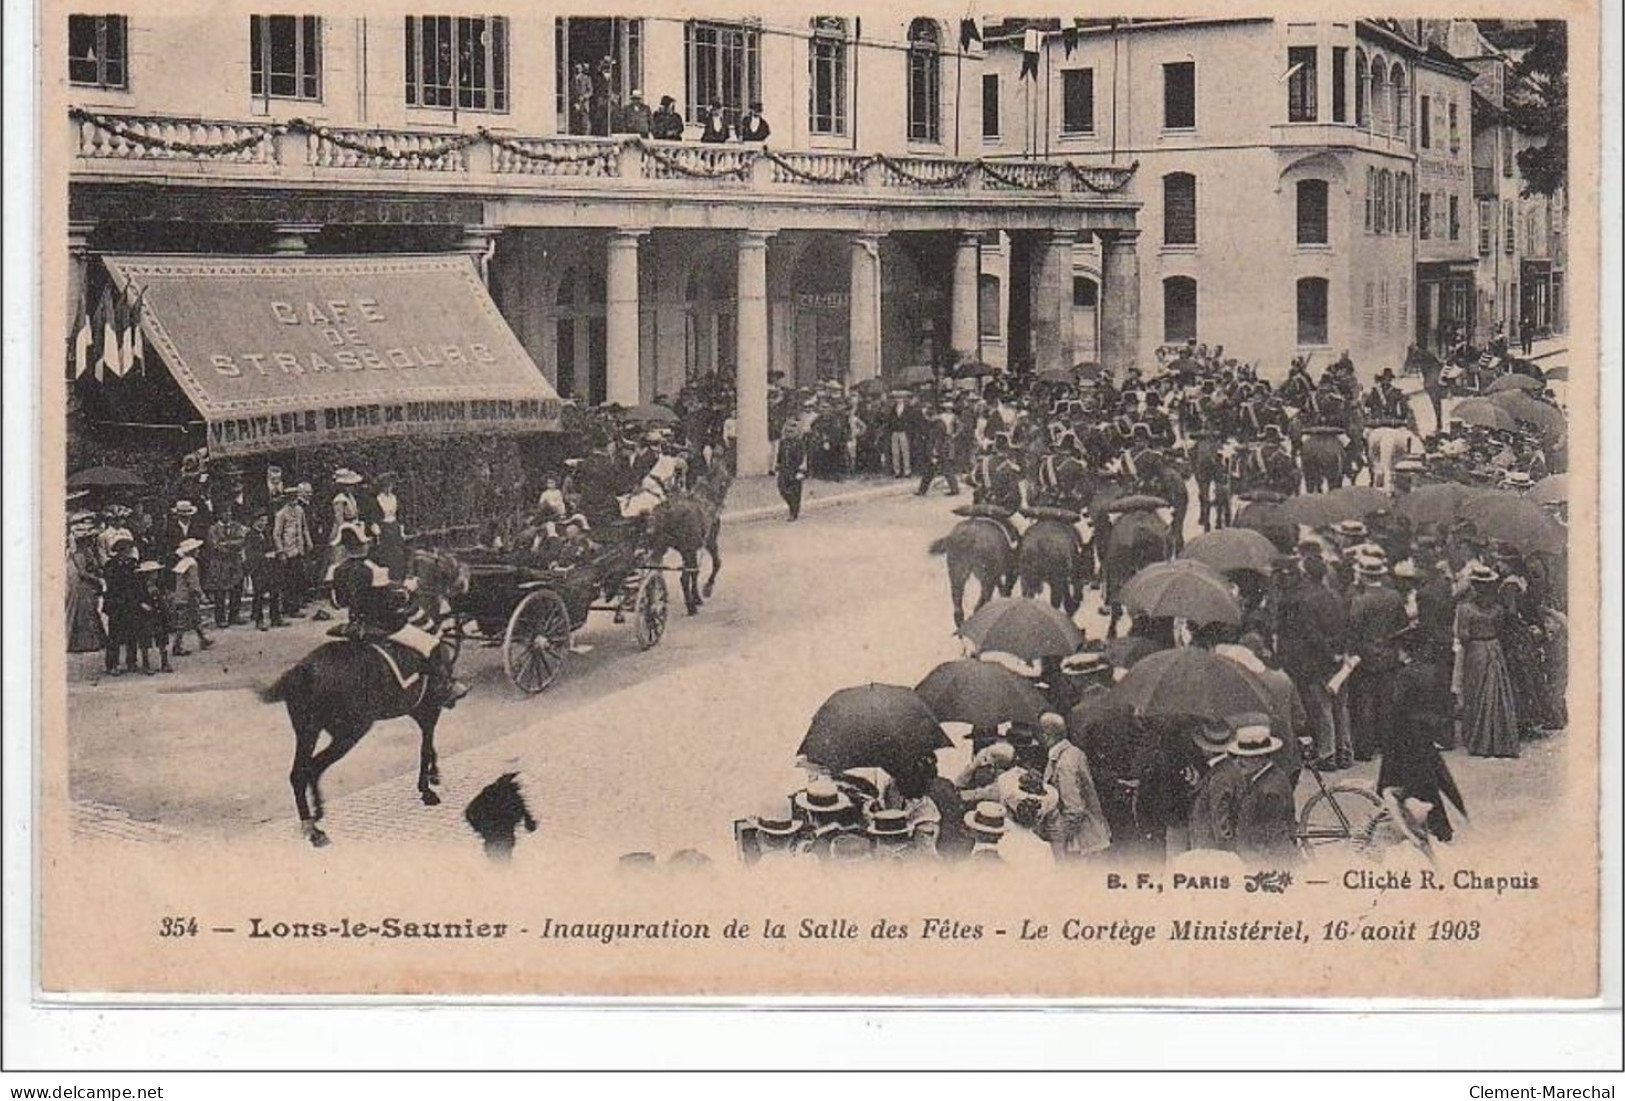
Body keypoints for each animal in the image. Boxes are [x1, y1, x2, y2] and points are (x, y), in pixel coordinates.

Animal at [256, 548, 468, 850]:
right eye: (449, 564)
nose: (465, 583)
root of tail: (304, 669)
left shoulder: (417, 711)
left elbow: (430, 747)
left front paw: (433, 776)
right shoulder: (430, 709)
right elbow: (425, 748)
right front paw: (427, 790)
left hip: (307, 730)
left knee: (298, 773)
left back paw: (312, 824)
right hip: (349, 732)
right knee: (312, 768)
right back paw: (316, 821)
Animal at [643, 470, 734, 617]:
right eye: (725, 481)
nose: (722, 505)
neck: (706, 496)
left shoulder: (692, 550)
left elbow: (694, 571)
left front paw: (697, 597)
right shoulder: (708, 542)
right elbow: (716, 563)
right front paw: (706, 590)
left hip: (659, 548)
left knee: (654, 572)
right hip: (685, 549)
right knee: (683, 578)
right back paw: (690, 608)